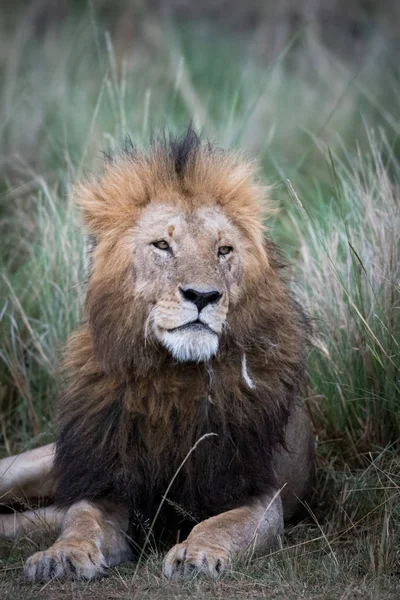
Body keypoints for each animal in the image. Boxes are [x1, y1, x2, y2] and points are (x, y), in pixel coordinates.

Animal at [0, 127, 314, 580]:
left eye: (223, 250)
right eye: (163, 245)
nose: (203, 296)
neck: (172, 377)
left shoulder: (259, 490)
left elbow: (223, 524)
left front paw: (197, 554)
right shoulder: (107, 482)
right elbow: (81, 519)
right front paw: (61, 555)